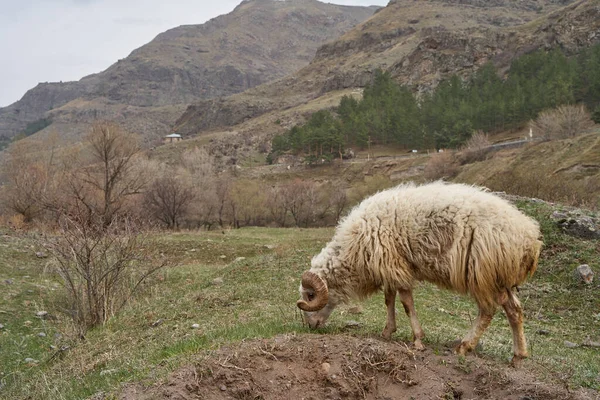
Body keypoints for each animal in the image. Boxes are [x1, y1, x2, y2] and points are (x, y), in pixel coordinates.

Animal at [298, 183, 540, 364]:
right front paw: (388, 331)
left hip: (482, 274)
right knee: (515, 310)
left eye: (310, 296)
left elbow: (406, 303)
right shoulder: (389, 266)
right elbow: (389, 299)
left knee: (488, 311)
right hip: (501, 278)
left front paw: (417, 340)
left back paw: (464, 346)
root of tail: (531, 238)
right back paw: (518, 356)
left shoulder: (395, 265)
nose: (310, 326)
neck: (352, 250)